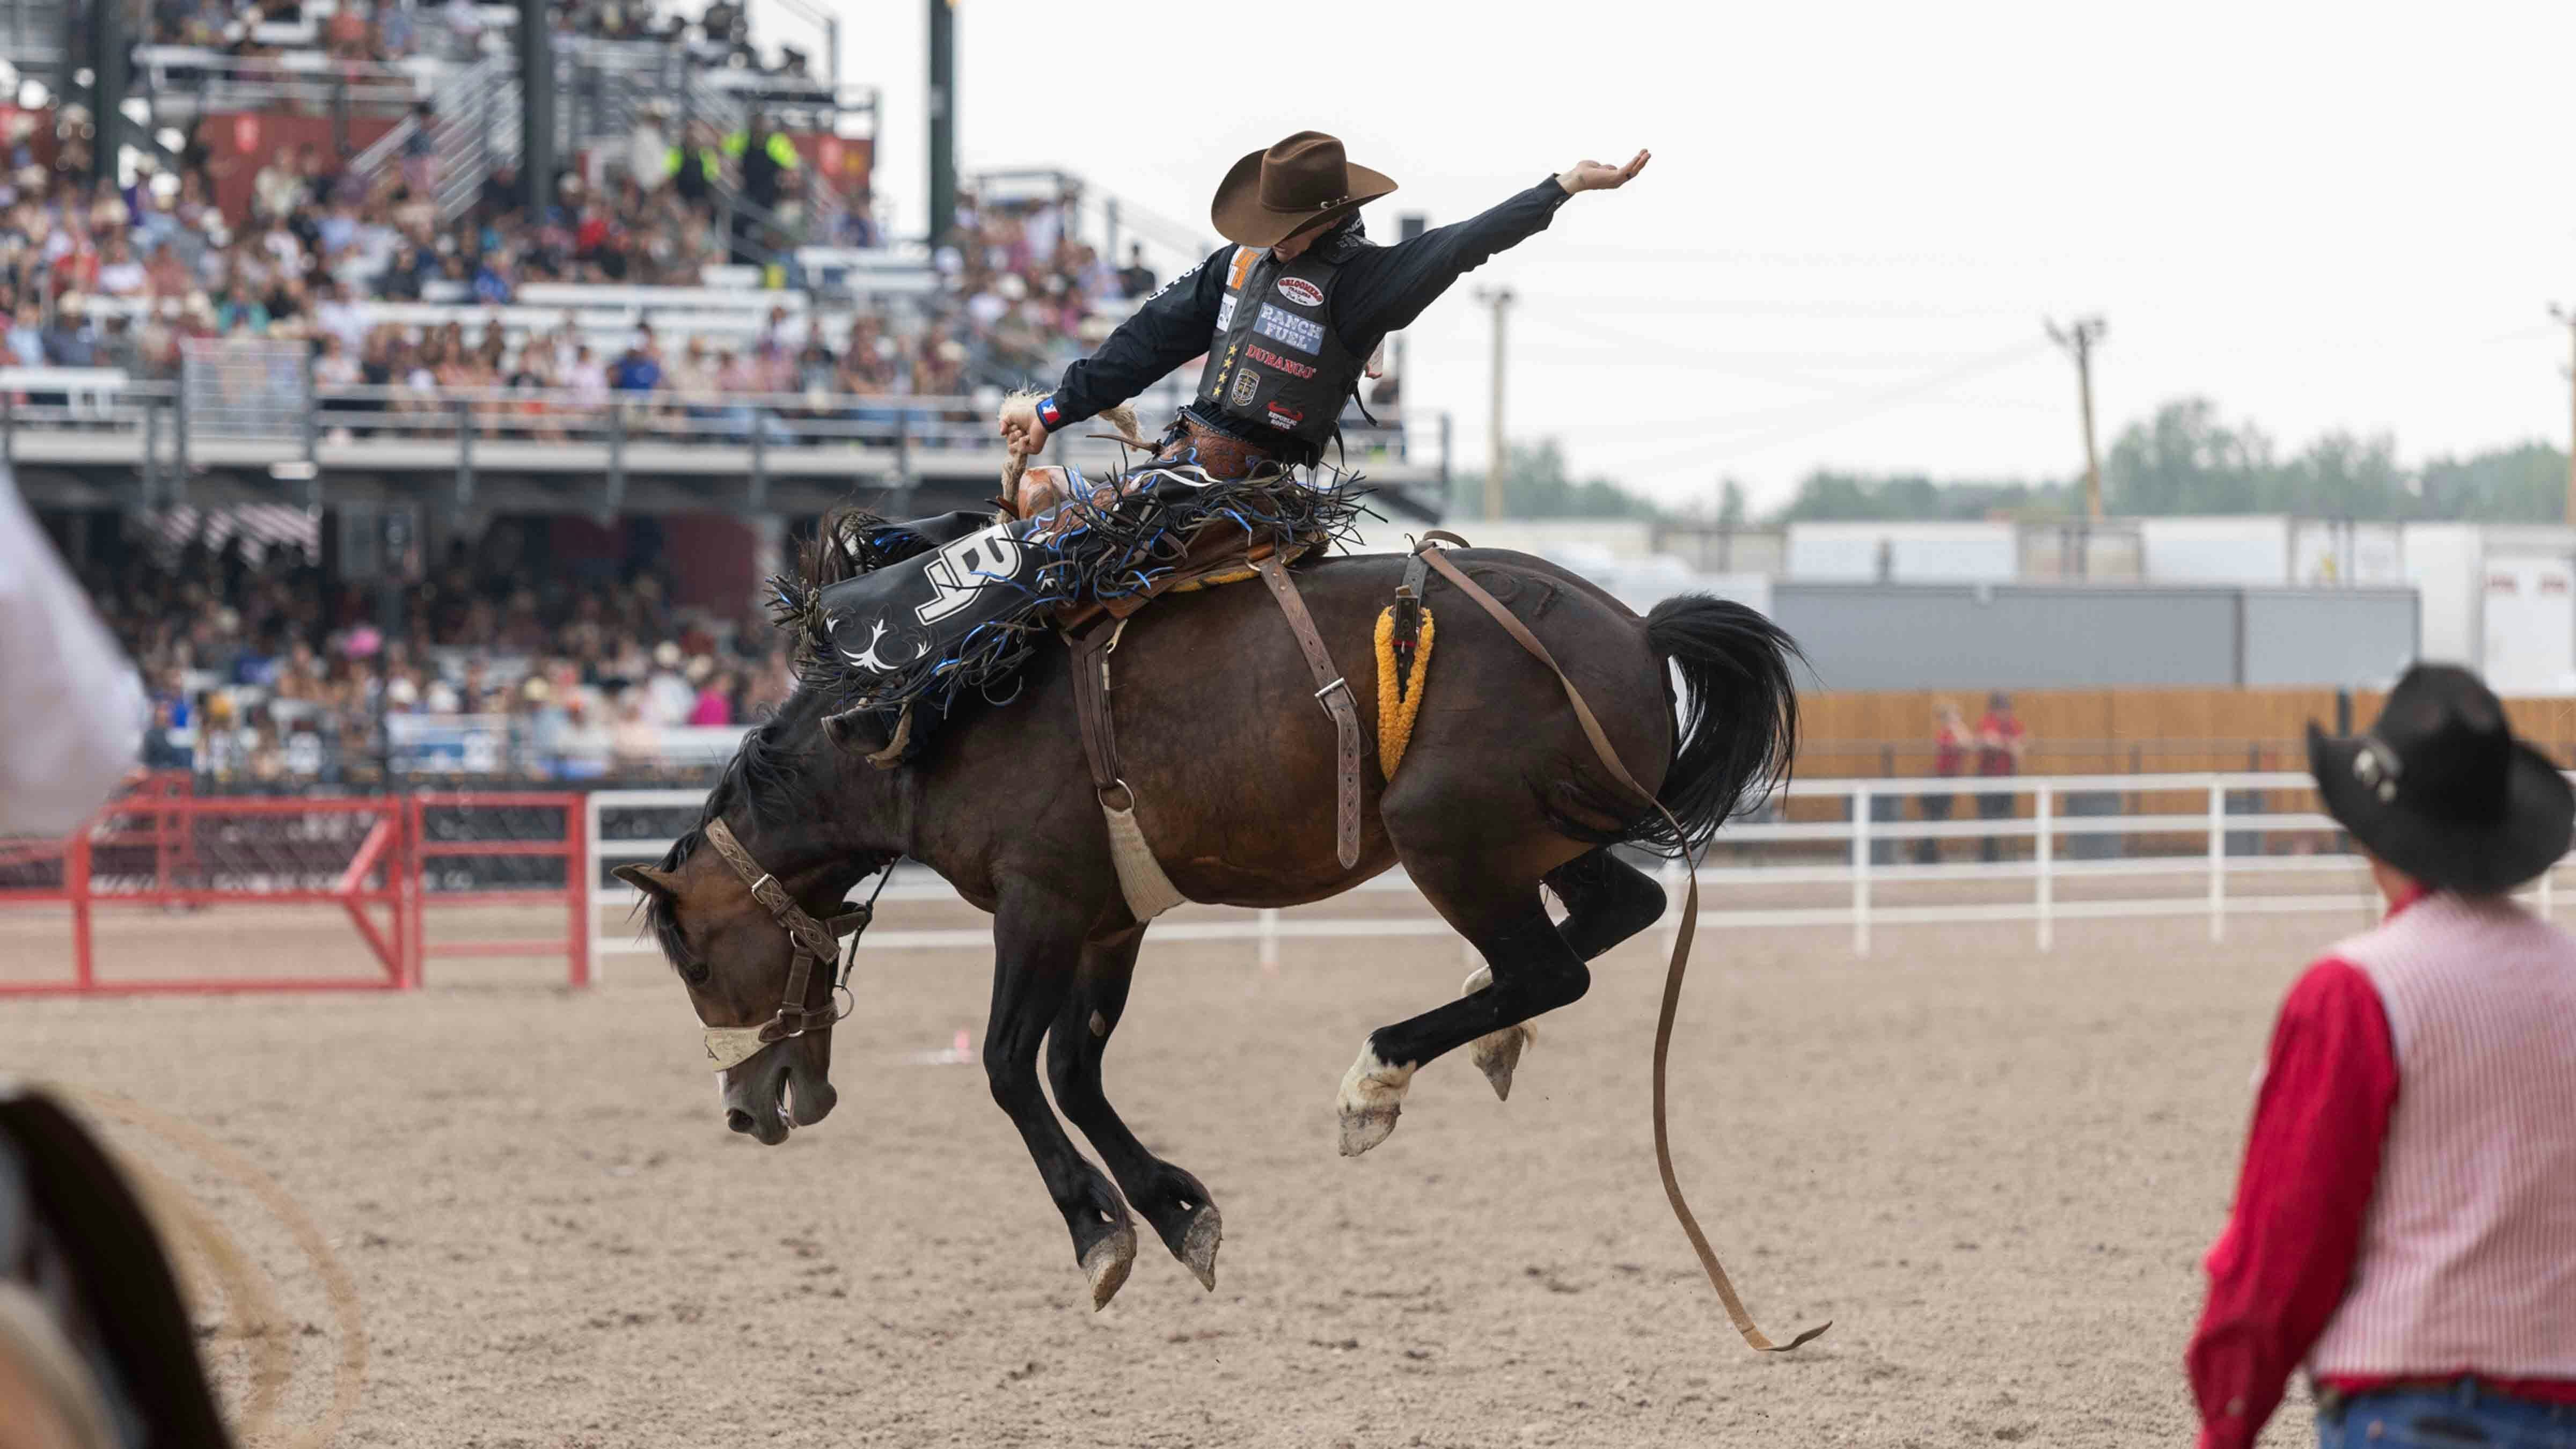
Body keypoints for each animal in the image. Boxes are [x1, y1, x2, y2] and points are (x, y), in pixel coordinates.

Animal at [620, 448, 1824, 1341]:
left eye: (694, 957)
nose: (745, 1108)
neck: (921, 716)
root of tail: (1639, 628)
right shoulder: (1110, 921)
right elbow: (1078, 1069)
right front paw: (1174, 1212)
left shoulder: (1039, 904)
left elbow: (1011, 1067)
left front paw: (1099, 1235)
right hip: (1543, 838)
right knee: (1620, 915)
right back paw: (1488, 1039)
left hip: (1447, 837)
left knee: (1552, 965)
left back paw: (1376, 1081)